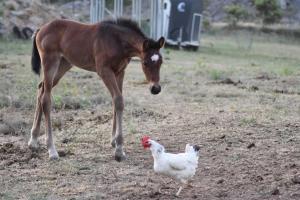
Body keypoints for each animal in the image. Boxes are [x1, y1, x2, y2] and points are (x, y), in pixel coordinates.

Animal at [28, 18, 164, 162]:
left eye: (161, 62)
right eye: (145, 63)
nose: (155, 88)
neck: (117, 41)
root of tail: (41, 29)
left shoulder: (120, 72)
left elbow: (117, 101)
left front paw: (114, 141)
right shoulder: (104, 71)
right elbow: (118, 100)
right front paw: (119, 150)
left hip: (64, 64)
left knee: (41, 89)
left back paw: (33, 141)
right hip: (50, 63)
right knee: (46, 99)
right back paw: (52, 150)